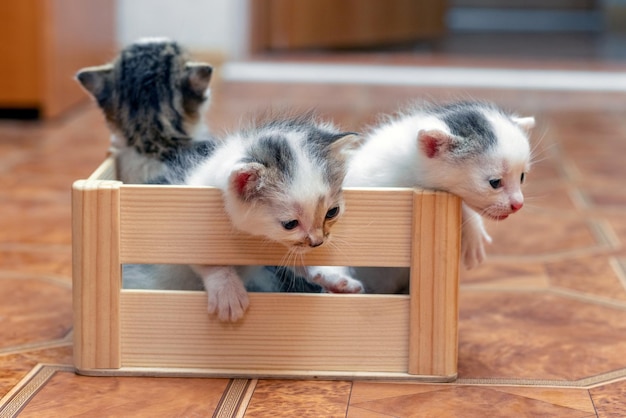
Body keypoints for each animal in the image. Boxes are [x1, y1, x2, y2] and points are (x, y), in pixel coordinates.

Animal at [178, 112, 360, 322]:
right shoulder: (190, 228)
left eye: (332, 212)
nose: (318, 242)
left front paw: (332, 276)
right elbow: (207, 258)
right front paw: (227, 292)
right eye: (290, 224)